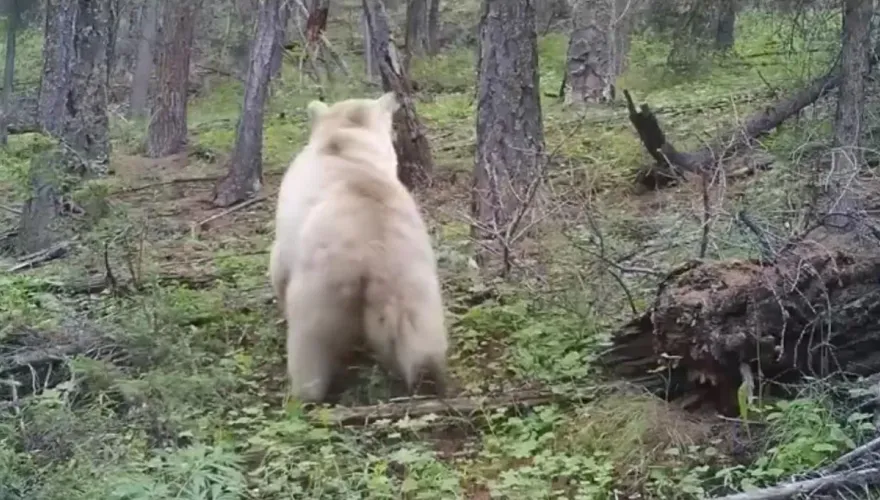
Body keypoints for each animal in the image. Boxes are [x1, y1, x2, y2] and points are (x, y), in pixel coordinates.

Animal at [268, 92, 449, 403]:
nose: (394, 96)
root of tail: (374, 250)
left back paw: (307, 392)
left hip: (321, 282)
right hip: (413, 277)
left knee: (311, 339)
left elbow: (277, 265)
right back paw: (427, 375)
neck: (345, 141)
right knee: (417, 333)